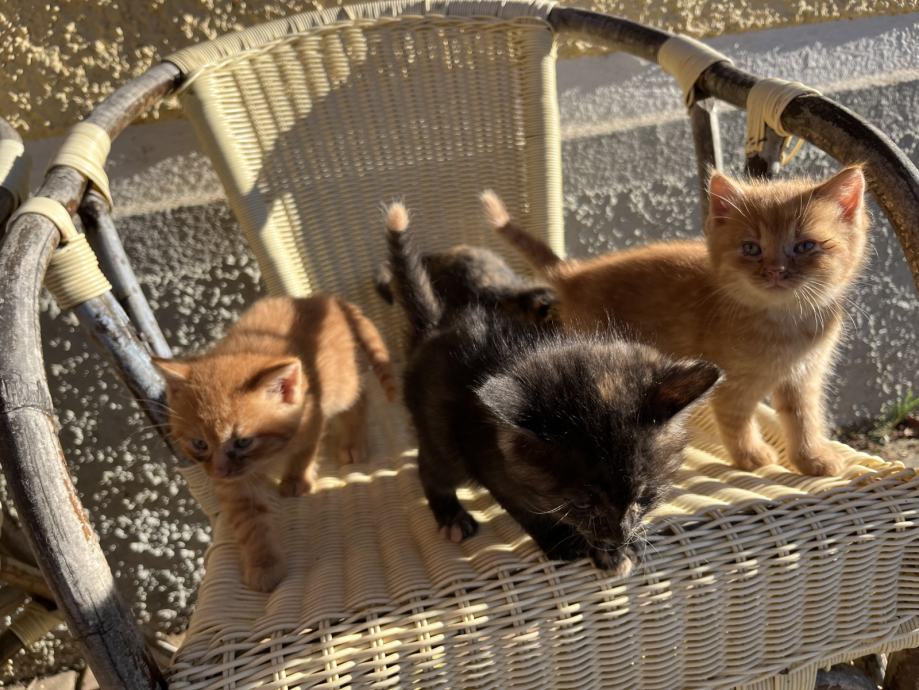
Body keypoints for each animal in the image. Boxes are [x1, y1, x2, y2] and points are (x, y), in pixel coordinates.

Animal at [154, 295, 396, 591]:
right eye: (200, 444)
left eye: (243, 441)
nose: (219, 471)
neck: (268, 457)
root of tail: (323, 298)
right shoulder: (236, 485)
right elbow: (250, 521)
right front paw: (263, 563)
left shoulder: (312, 415)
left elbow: (305, 451)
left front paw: (295, 479)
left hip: (342, 385)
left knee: (359, 396)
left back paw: (353, 442)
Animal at [485, 164, 869, 477]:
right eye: (751, 249)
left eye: (805, 247)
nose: (775, 270)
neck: (787, 323)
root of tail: (575, 274)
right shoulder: (732, 383)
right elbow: (735, 418)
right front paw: (750, 456)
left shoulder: (803, 377)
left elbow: (803, 419)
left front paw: (811, 459)